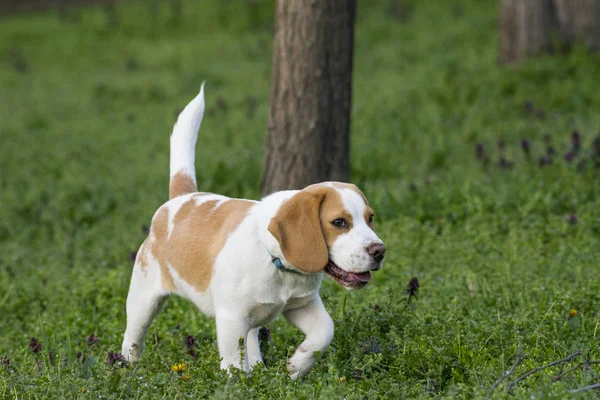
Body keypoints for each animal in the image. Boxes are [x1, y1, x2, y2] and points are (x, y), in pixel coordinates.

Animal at [122, 84, 386, 378]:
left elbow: (324, 332)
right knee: (132, 337)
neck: (278, 263)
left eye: (370, 219)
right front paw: (241, 383)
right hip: (144, 299)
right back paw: (128, 371)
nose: (380, 251)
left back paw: (259, 368)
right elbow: (233, 365)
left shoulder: (303, 304)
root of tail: (181, 197)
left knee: (251, 340)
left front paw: (295, 367)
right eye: (339, 222)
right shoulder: (230, 318)